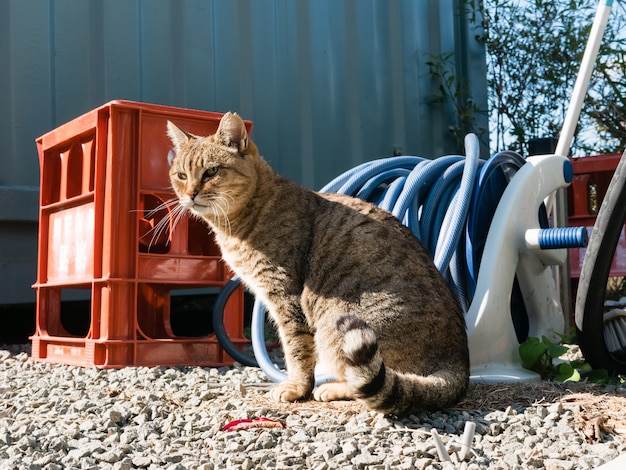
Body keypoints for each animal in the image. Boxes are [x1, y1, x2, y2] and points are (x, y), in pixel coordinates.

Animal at [166, 114, 468, 414]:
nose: (190, 194)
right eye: (181, 175)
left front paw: (295, 388)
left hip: (336, 324)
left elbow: (295, 350)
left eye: (211, 172)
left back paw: (332, 388)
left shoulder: (286, 297)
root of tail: (459, 362)